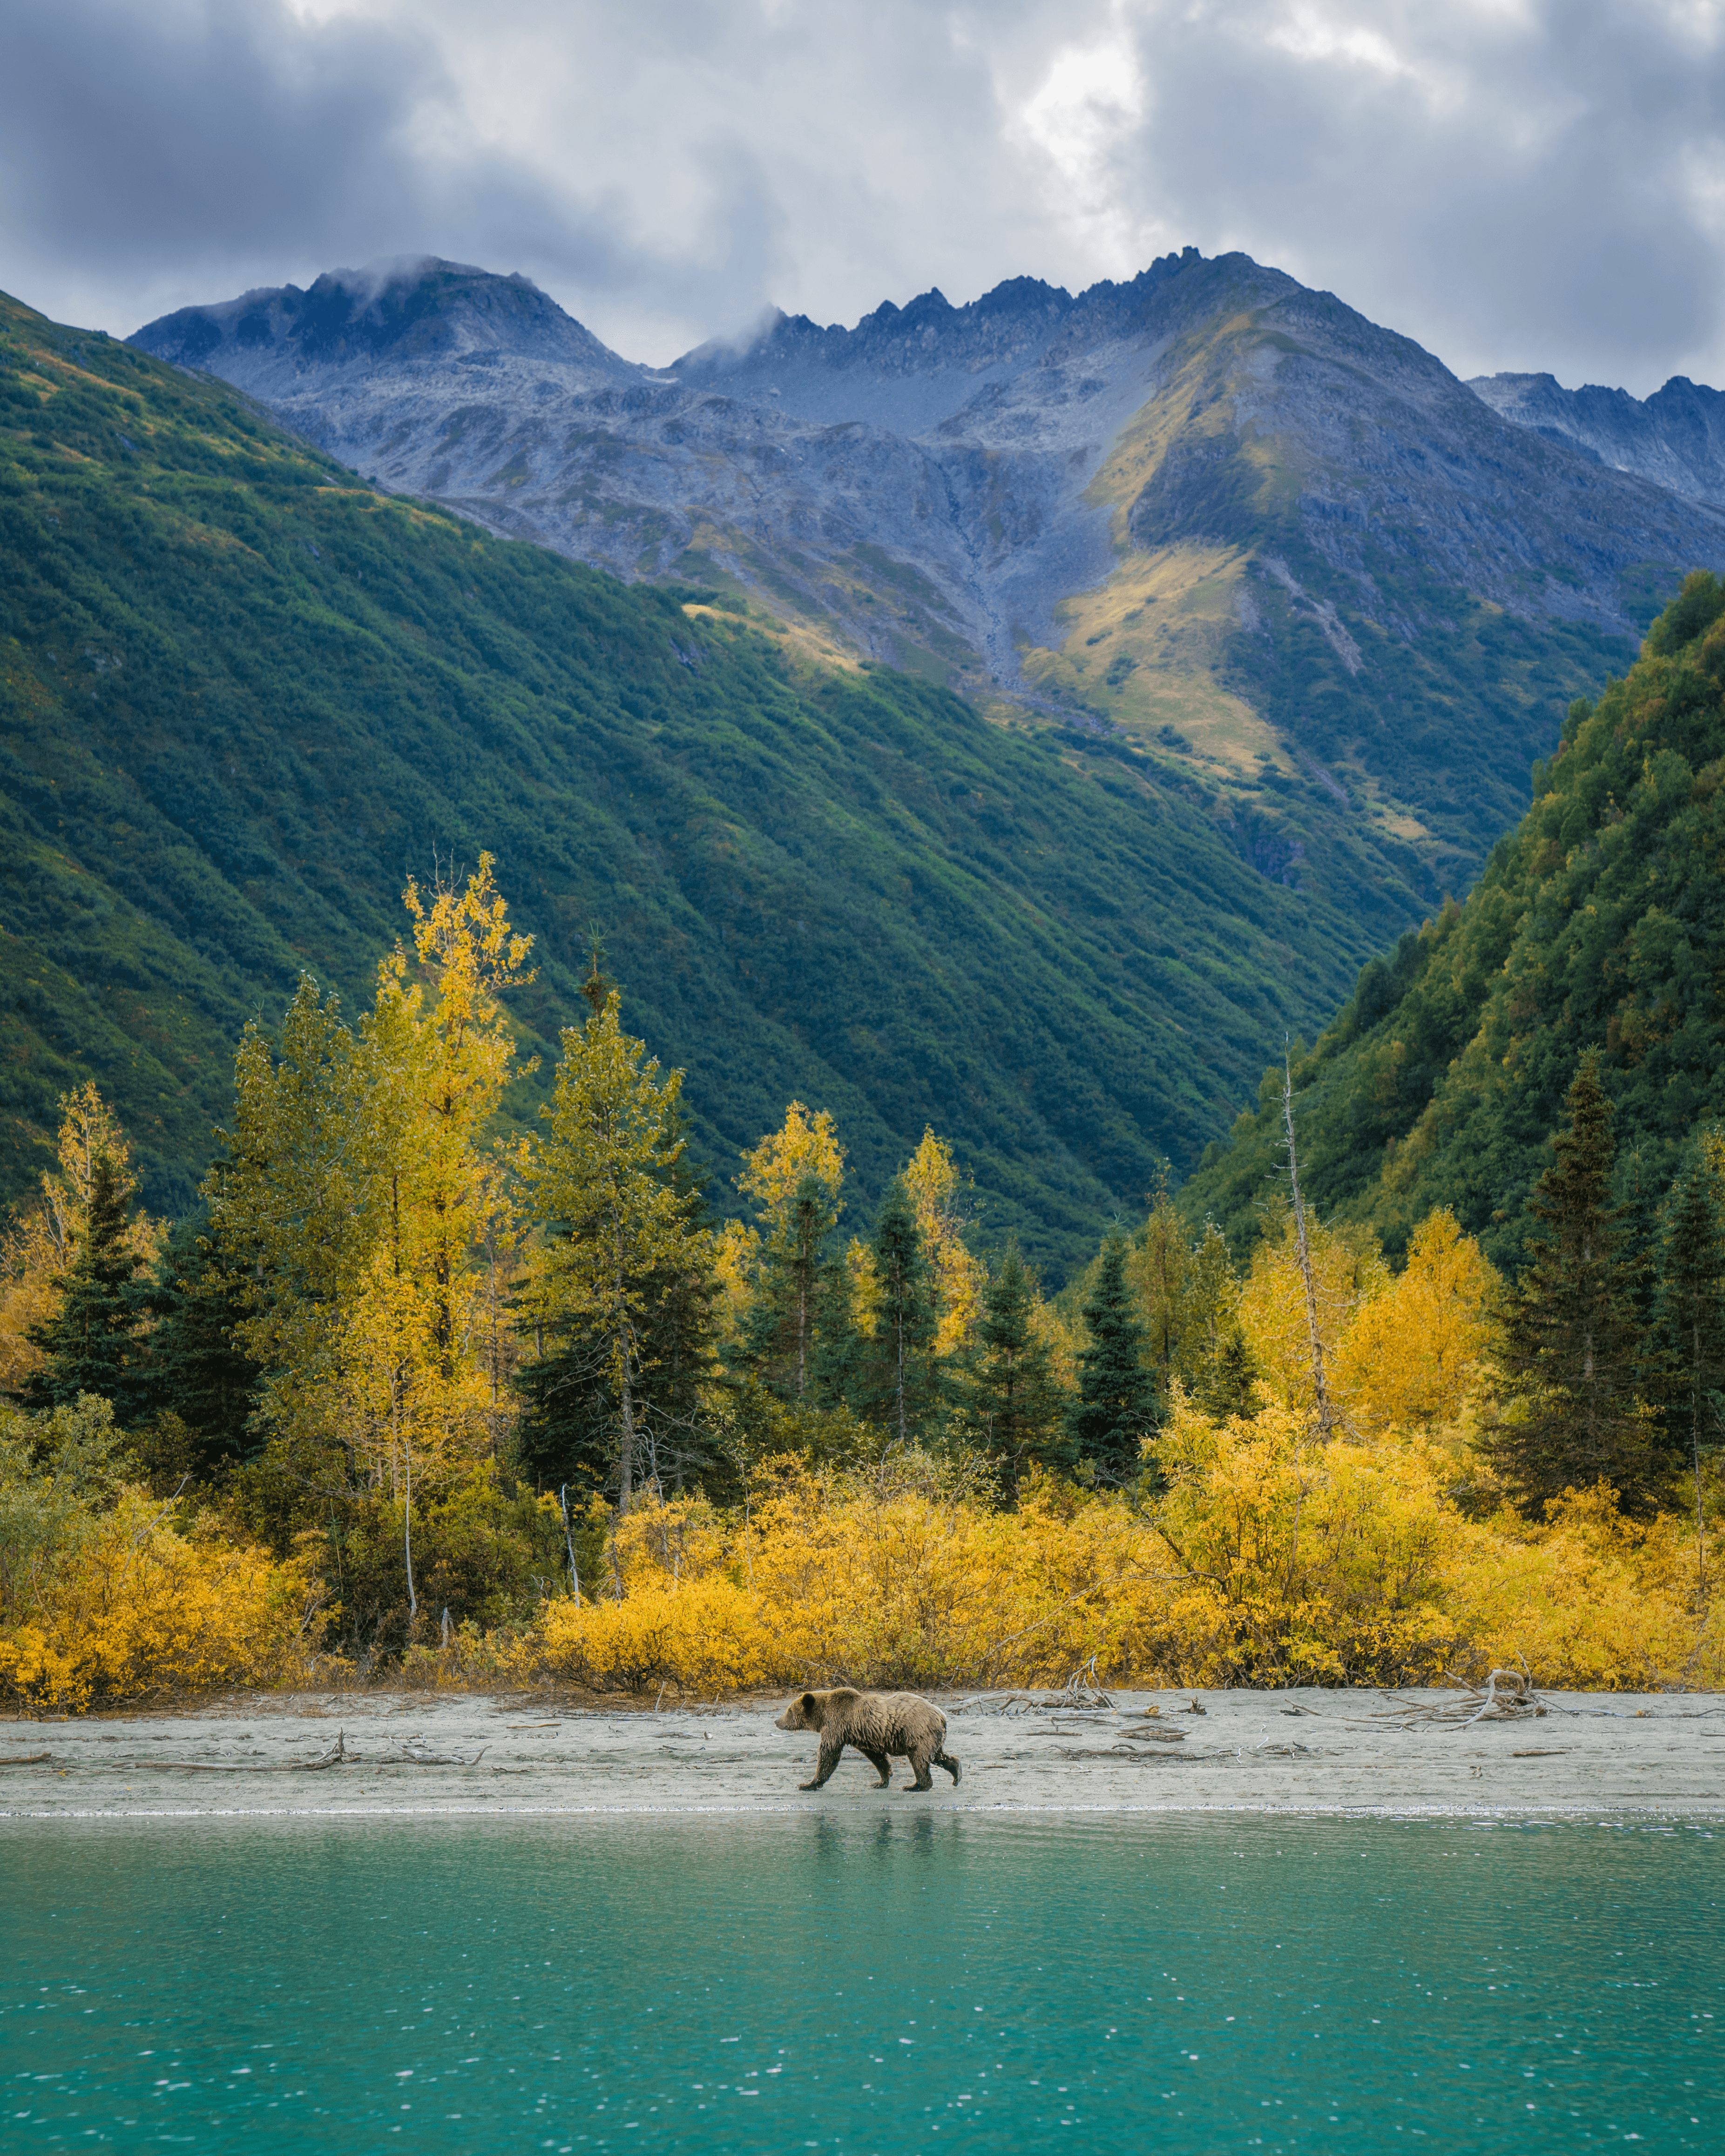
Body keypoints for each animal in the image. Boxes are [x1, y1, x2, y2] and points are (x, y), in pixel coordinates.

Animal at [774, 1687, 961, 1792]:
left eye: (789, 1710)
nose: (777, 1721)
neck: (822, 1717)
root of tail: (942, 1715)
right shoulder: (863, 1736)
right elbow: (878, 1758)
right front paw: (881, 1781)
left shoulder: (836, 1726)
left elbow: (829, 1755)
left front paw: (808, 1784)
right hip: (930, 1736)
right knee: (937, 1756)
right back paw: (957, 1773)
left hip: (917, 1731)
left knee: (919, 1760)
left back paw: (916, 1786)